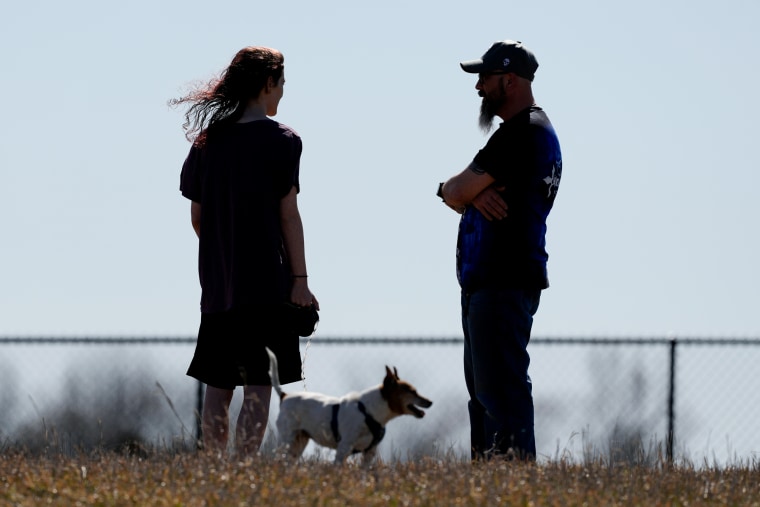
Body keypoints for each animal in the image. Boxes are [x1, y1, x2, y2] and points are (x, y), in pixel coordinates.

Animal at [266, 348, 434, 466]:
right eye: (411, 391)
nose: (430, 402)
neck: (369, 412)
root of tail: (284, 396)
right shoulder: (344, 448)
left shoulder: (369, 453)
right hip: (287, 440)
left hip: (299, 442)